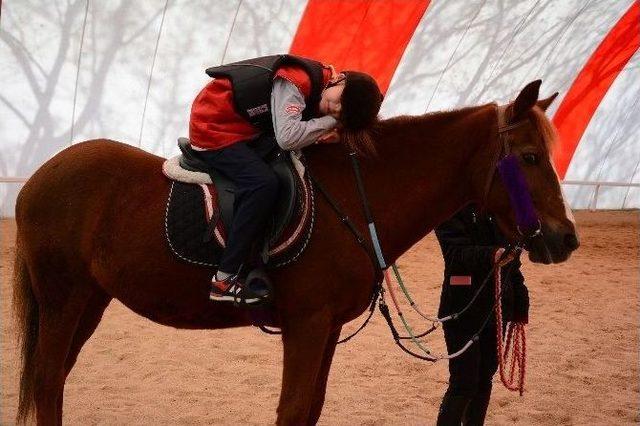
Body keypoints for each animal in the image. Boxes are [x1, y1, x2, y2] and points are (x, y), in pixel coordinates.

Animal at [13, 80, 576, 426]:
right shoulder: (306, 324)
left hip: (88, 300)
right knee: (47, 379)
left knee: (53, 379)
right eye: (529, 157)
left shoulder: (325, 328)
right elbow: (292, 409)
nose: (565, 238)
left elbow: (311, 409)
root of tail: (41, 175)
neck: (355, 196)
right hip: (63, 299)